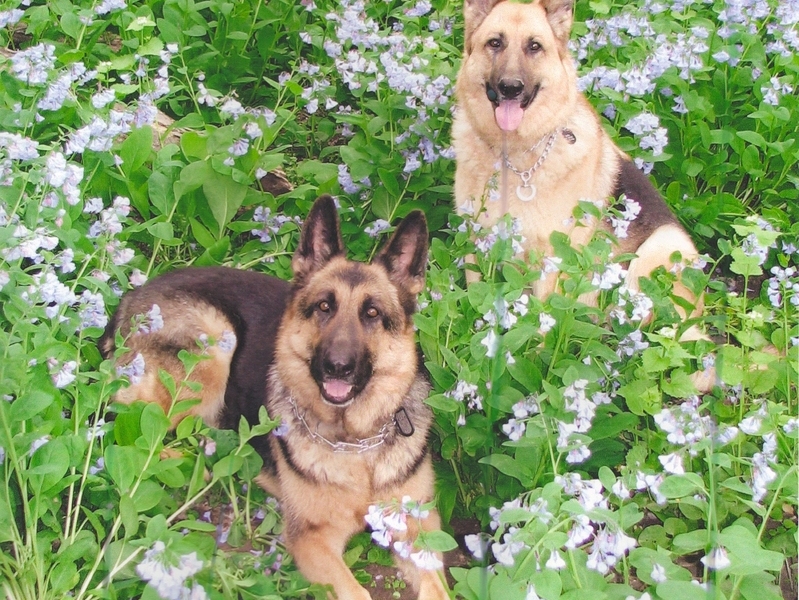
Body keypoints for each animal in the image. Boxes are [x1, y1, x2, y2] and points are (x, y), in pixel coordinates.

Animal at [101, 197, 450, 600]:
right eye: (324, 307)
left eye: (373, 313)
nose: (337, 367)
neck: (358, 444)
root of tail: (129, 297)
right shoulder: (312, 539)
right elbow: (358, 592)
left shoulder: (420, 532)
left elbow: (437, 588)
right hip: (213, 345)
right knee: (124, 421)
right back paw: (190, 461)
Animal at [454, 0, 704, 318]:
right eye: (494, 43)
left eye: (535, 46)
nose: (511, 87)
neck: (515, 157)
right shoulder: (475, 242)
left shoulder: (553, 259)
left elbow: (542, 320)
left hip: (658, 250)